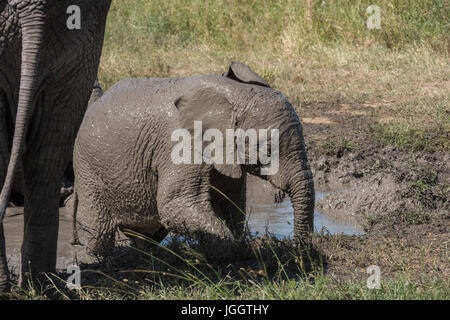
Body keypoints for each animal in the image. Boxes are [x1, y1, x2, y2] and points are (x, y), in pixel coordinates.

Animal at [72, 61, 314, 254]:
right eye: (268, 149)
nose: (299, 252)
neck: (232, 92)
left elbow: (231, 203)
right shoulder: (179, 144)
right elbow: (176, 205)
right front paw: (231, 253)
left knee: (147, 234)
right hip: (87, 168)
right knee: (98, 230)